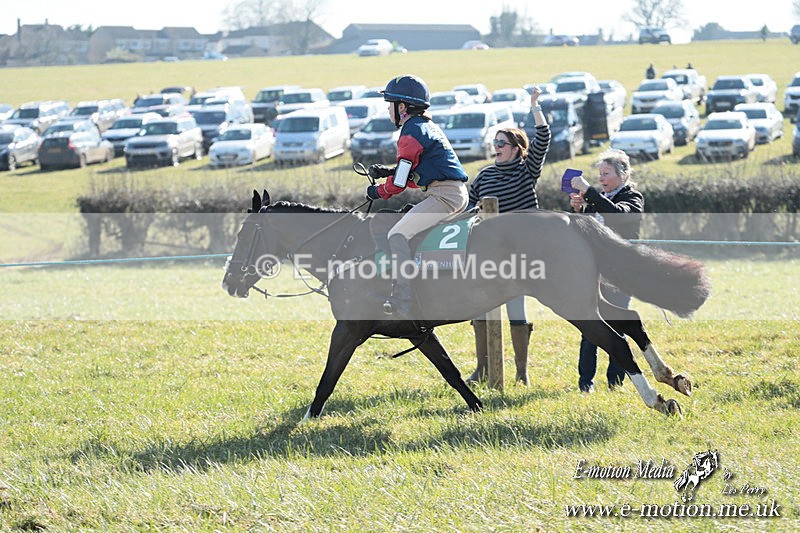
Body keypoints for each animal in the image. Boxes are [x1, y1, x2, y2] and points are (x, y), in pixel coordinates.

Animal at [222, 189, 711, 420]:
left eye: (244, 233)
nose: (229, 281)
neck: (345, 248)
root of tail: (572, 218)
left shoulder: (349, 330)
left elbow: (328, 376)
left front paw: (305, 419)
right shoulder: (419, 333)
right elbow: (452, 373)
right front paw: (476, 408)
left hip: (569, 302)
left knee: (615, 342)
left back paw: (657, 399)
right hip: (586, 296)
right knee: (629, 321)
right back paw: (671, 377)